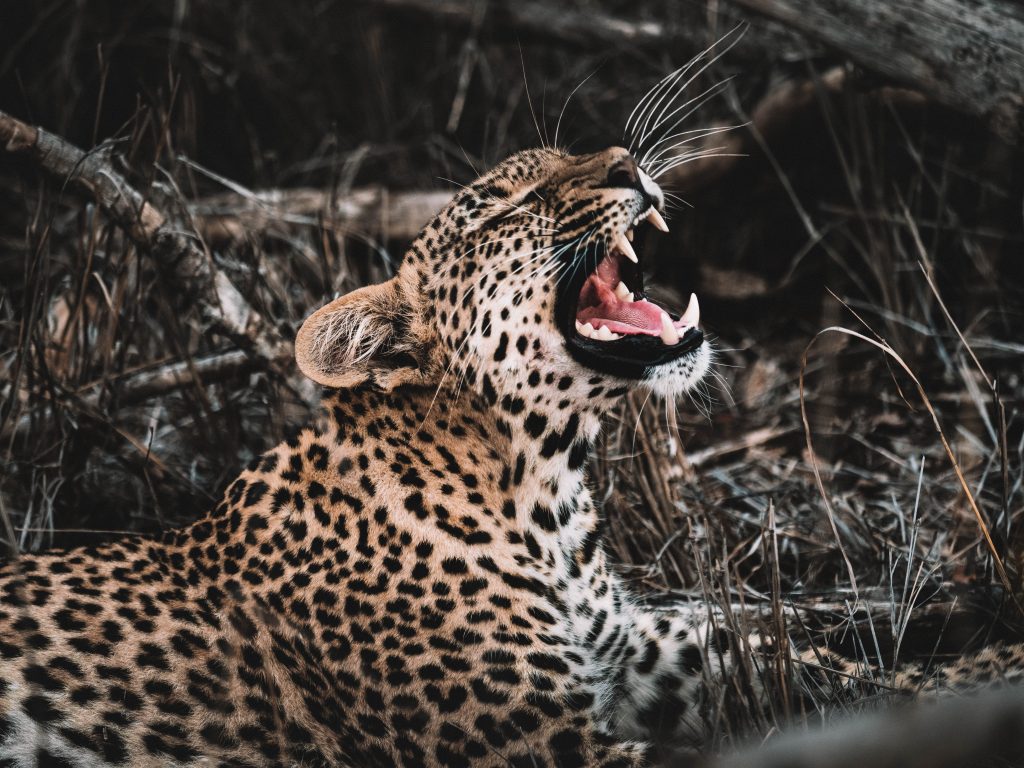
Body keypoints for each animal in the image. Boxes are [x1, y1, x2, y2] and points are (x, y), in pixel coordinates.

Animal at [2, 141, 1022, 767]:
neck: (542, 490)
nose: (627, 159)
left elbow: (795, 656)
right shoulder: (539, 744)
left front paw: (977, 682)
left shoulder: (638, 652)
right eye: (509, 205)